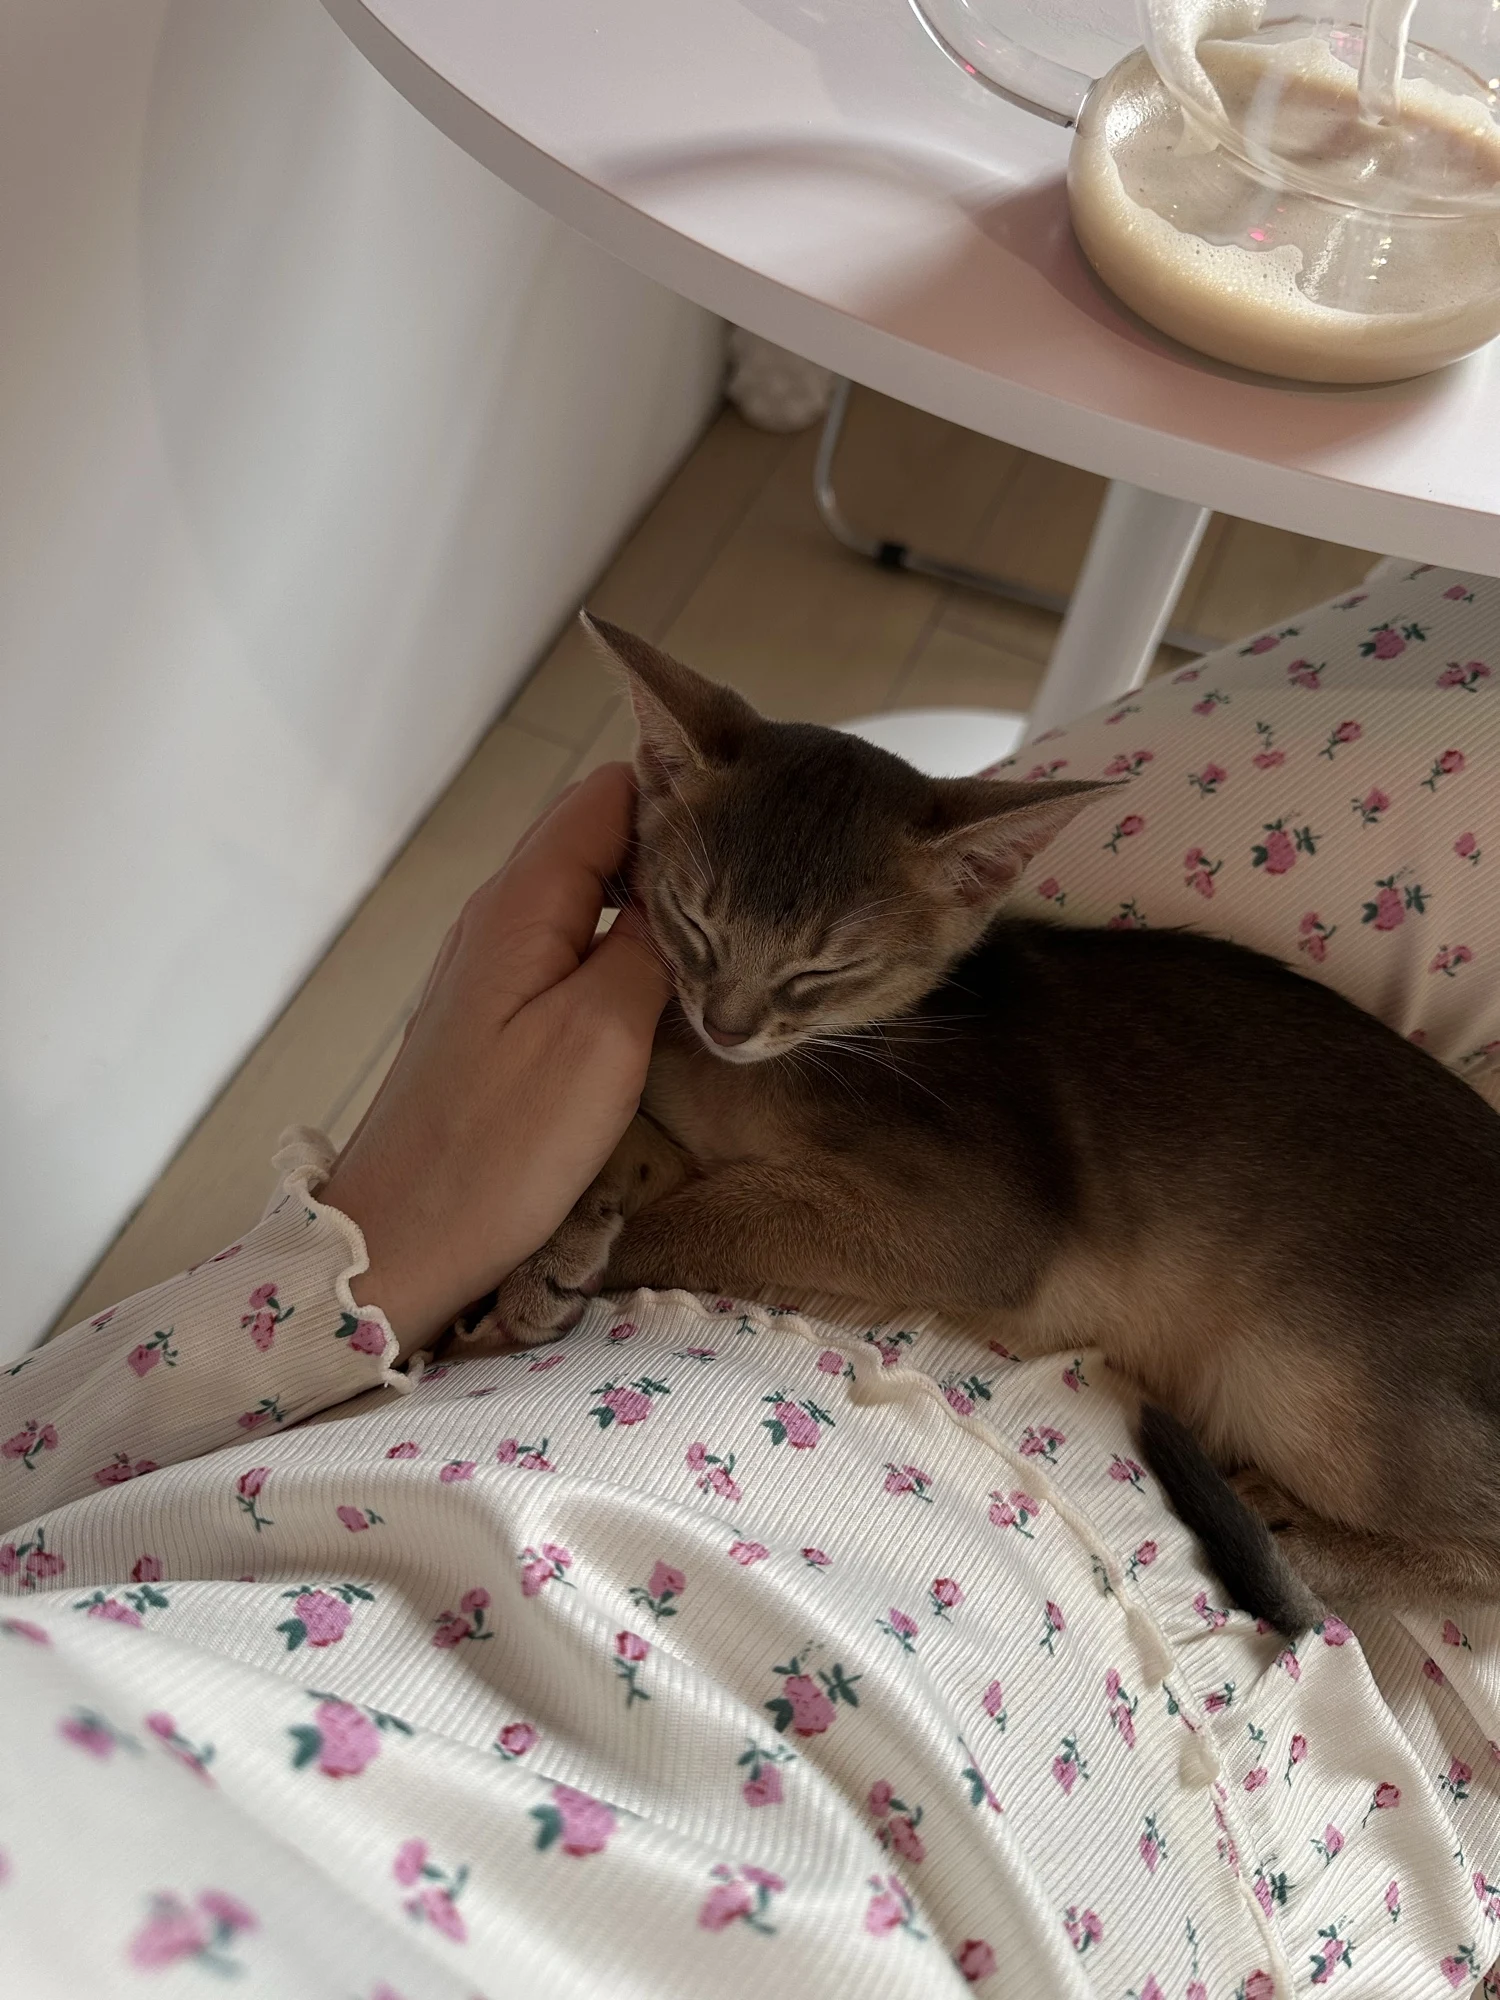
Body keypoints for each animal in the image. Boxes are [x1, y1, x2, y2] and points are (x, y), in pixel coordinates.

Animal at [468, 614, 1500, 1632]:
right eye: (693, 922)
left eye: (823, 970)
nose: (726, 1024)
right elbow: (630, 1147)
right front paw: (550, 1250)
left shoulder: (974, 1223)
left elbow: (718, 1217)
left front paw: (553, 1281)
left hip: (1316, 1387)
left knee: (1480, 1557)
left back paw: (1292, 1531)